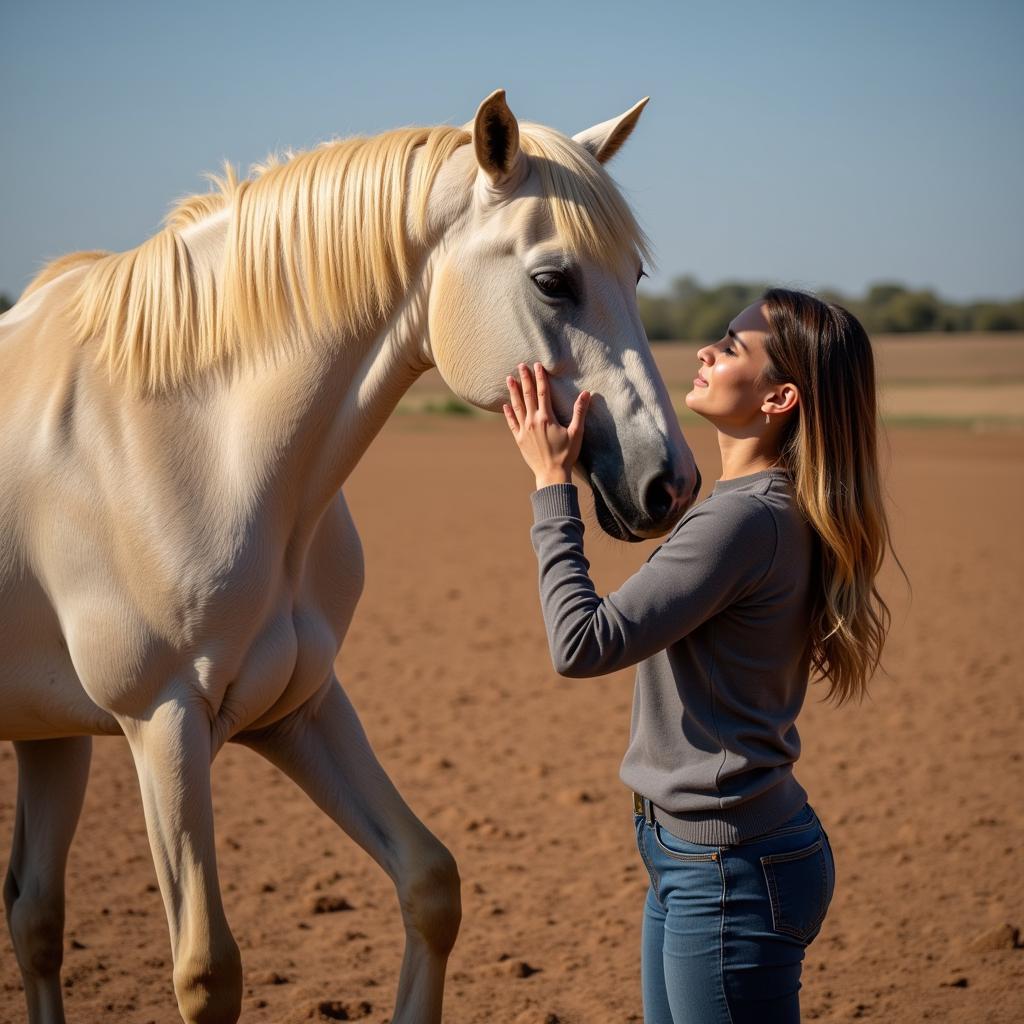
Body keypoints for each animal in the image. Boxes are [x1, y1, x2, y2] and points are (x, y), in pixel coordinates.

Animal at [0, 90, 700, 1024]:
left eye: (636, 277)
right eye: (555, 280)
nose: (672, 483)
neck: (199, 447)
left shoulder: (298, 704)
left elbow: (430, 883)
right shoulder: (162, 724)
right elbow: (206, 972)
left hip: (50, 736)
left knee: (35, 916)